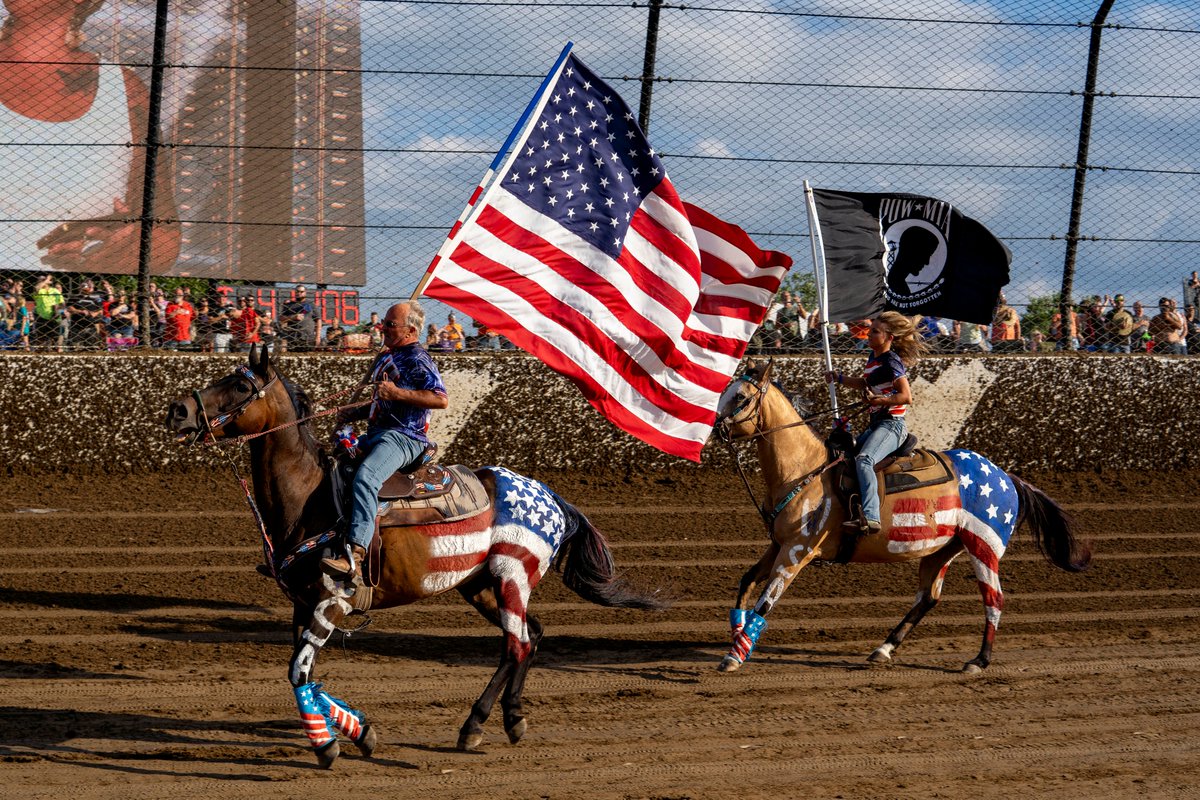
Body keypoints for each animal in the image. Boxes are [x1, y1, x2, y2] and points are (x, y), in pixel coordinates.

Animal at [164, 347, 667, 767]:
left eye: (240, 385)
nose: (178, 411)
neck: (311, 498)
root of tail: (552, 497)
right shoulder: (302, 604)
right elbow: (304, 675)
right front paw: (359, 731)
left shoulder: (333, 600)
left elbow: (298, 670)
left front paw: (327, 746)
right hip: (480, 586)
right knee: (531, 635)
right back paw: (508, 719)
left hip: (511, 577)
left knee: (517, 644)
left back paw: (475, 726)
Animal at [715, 362, 1094, 676]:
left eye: (741, 397)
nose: (716, 428)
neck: (806, 470)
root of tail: (1007, 477)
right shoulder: (778, 544)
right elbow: (746, 582)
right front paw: (737, 633)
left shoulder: (797, 551)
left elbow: (766, 601)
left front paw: (735, 656)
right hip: (941, 549)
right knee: (927, 598)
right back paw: (883, 649)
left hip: (983, 545)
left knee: (993, 598)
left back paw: (978, 660)